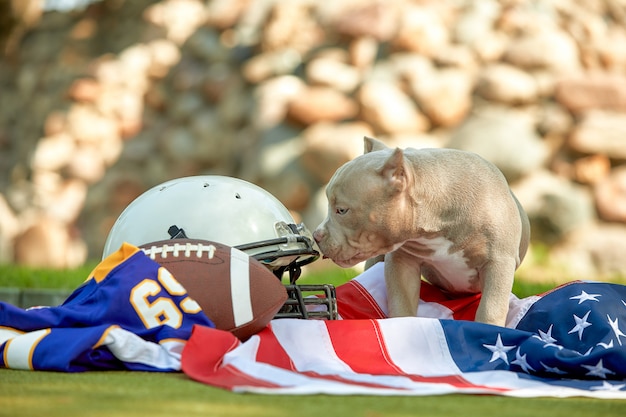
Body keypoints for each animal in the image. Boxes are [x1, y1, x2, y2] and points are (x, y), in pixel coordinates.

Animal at [312, 136, 528, 324]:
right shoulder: (402, 262)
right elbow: (402, 303)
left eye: (342, 210)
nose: (316, 235)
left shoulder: (499, 262)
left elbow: (490, 308)